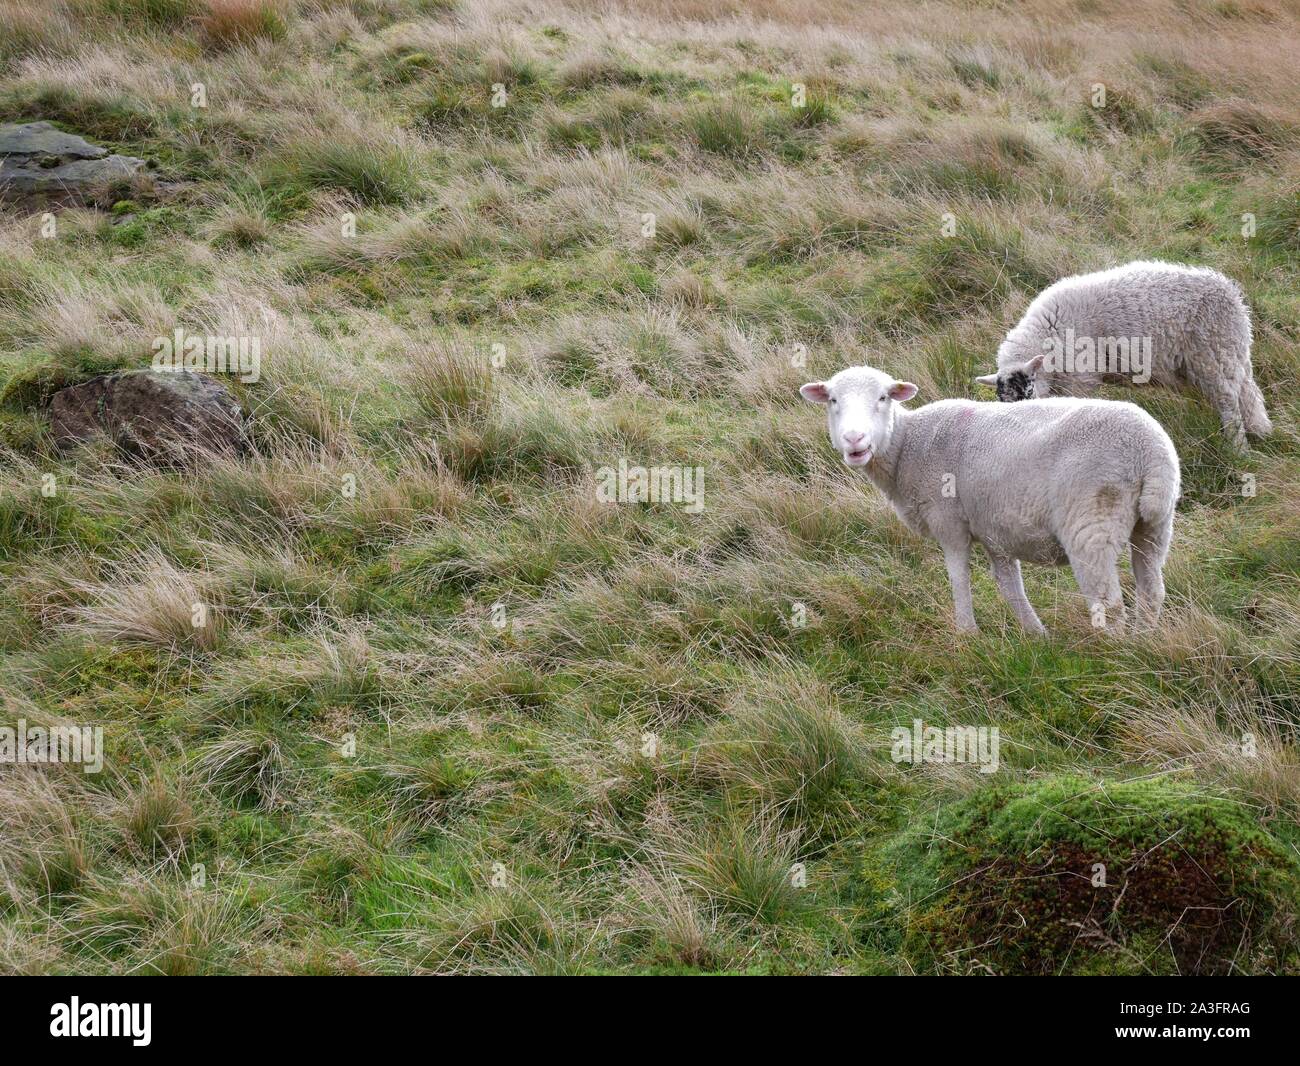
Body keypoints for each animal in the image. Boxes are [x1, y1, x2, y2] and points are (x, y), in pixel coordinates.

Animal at [795, 366, 1185, 631]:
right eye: (833, 400)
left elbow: (959, 578)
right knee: (1152, 591)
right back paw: (1143, 641)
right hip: (1154, 524)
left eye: (883, 398)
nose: (855, 440)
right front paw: (1037, 636)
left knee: (1110, 602)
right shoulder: (995, 529)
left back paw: (1113, 653)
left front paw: (967, 633)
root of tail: (1150, 453)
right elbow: (1010, 586)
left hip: (1091, 523)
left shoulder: (949, 522)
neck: (907, 445)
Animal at [977, 263, 1268, 454]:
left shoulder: (1080, 380)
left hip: (1214, 353)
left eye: (1028, 393)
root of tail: (1234, 297)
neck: (1048, 333)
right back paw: (1259, 431)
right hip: (1223, 357)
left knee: (1229, 402)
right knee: (1247, 395)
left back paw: (1238, 448)